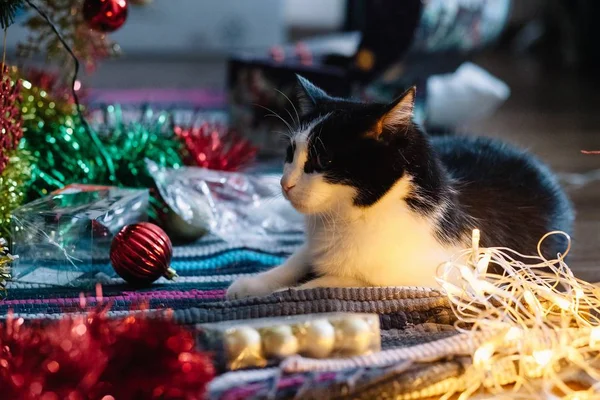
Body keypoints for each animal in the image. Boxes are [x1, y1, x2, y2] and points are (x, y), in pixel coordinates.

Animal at [227, 76, 576, 298]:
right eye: (290, 154)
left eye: (324, 160)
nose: (285, 183)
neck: (351, 216)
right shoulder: (314, 245)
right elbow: (297, 260)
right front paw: (252, 285)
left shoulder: (429, 276)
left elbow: (335, 281)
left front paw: (280, 293)